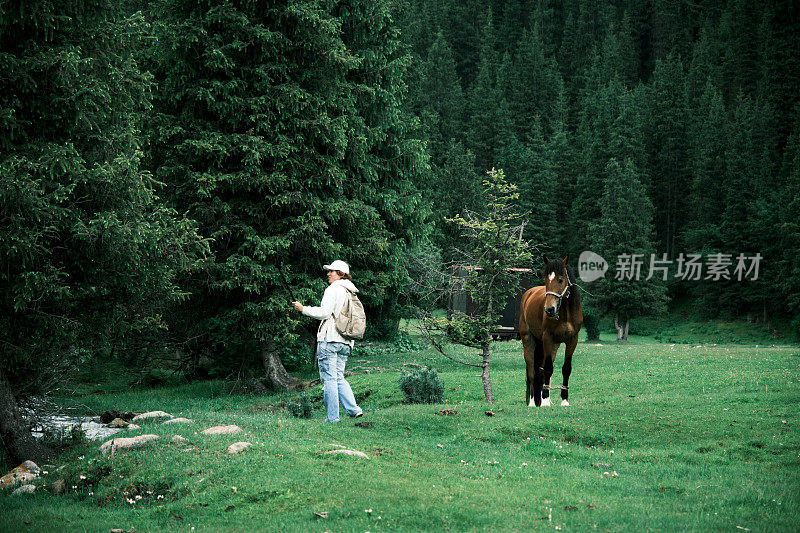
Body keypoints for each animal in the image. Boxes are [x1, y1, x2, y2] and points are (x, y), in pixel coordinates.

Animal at [520, 256, 580, 406]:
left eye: (561, 279)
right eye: (546, 280)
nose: (549, 309)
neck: (565, 314)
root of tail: (528, 294)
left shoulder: (572, 341)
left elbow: (566, 369)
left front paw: (564, 400)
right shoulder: (547, 338)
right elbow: (547, 369)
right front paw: (545, 400)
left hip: (553, 346)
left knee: (540, 370)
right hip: (529, 340)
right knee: (532, 371)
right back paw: (532, 402)